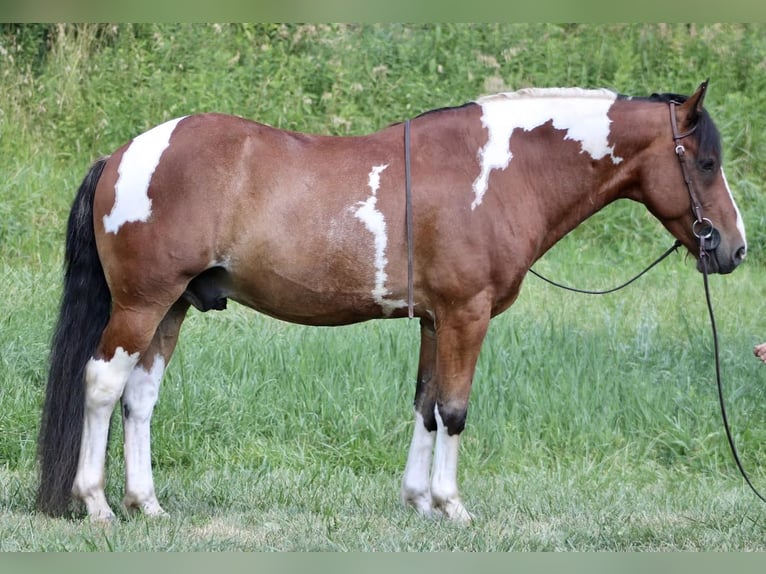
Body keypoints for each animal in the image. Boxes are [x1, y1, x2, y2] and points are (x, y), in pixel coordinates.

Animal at [37, 81, 752, 528]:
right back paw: (96, 503)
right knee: (102, 384)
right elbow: (455, 411)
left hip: (173, 309)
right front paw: (453, 505)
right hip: (141, 305)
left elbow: (427, 406)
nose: (734, 248)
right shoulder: (466, 315)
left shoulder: (437, 320)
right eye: (705, 163)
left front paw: (418, 501)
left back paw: (147, 504)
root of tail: (124, 153)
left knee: (140, 397)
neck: (497, 174)